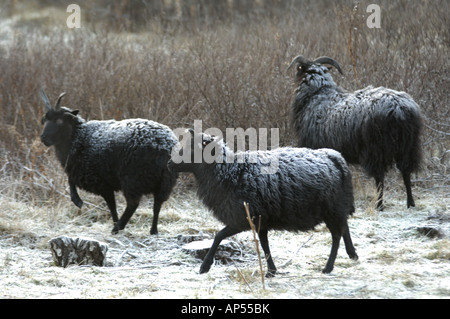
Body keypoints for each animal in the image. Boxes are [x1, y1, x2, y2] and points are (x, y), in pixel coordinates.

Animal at [39, 90, 178, 235]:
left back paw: (118, 228)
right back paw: (153, 230)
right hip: (165, 180)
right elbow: (111, 204)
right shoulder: (98, 179)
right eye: (45, 120)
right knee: (157, 204)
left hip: (133, 178)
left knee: (133, 204)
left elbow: (108, 203)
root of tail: (163, 145)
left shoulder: (96, 179)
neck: (78, 137)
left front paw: (78, 201)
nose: (43, 138)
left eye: (60, 120)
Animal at [169, 131, 358, 276]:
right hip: (336, 207)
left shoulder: (243, 218)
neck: (229, 173)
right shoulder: (261, 218)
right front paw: (271, 271)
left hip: (331, 208)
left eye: (192, 148)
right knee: (344, 226)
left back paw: (328, 267)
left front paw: (204, 266)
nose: (170, 163)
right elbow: (264, 243)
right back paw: (352, 254)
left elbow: (219, 236)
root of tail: (335, 157)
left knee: (336, 235)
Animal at [288, 55, 422, 210]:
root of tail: (398, 108)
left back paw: (379, 205)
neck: (317, 94)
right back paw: (410, 203)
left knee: (380, 177)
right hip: (409, 147)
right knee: (406, 172)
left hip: (376, 149)